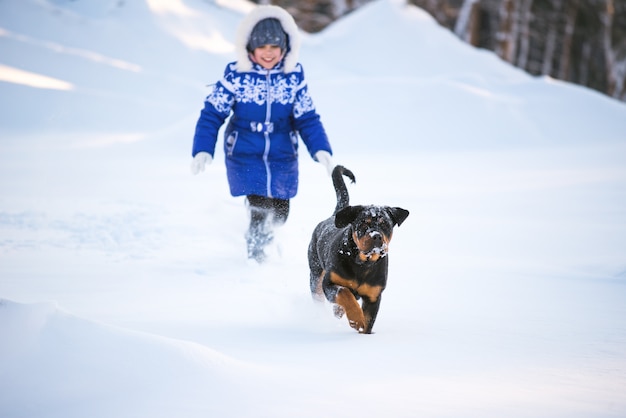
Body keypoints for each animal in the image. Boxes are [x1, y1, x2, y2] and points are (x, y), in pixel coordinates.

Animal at [308, 166, 410, 334]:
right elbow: (344, 292)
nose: (376, 236)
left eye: (385, 224)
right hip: (315, 274)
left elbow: (368, 322)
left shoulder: (373, 296)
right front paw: (356, 319)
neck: (363, 263)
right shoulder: (328, 282)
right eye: (363, 223)